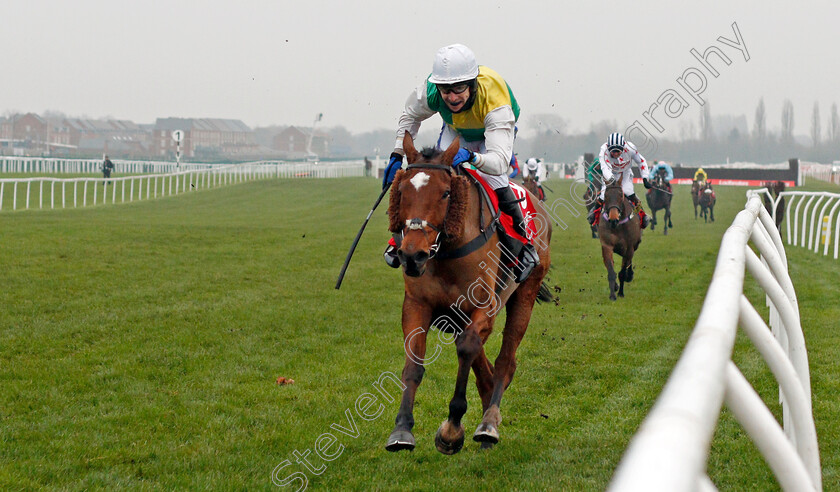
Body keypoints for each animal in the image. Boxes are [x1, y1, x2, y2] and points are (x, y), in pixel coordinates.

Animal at [386, 132, 552, 454]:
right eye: (401, 190)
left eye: (445, 193)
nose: (412, 255)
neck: (447, 251)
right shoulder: (417, 304)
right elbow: (414, 362)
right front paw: (402, 429)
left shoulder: (484, 306)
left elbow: (467, 349)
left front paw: (452, 429)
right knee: (486, 368)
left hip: (525, 293)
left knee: (505, 360)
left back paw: (488, 423)